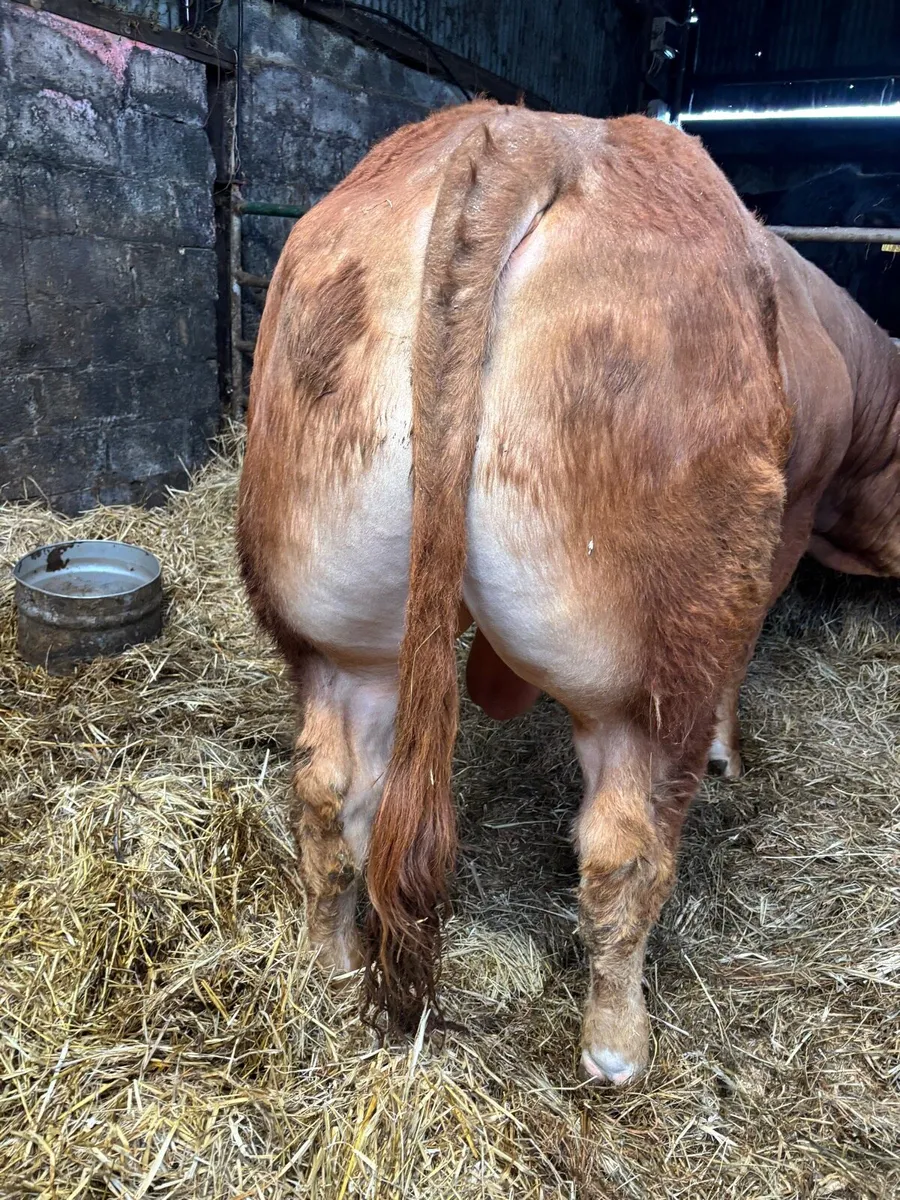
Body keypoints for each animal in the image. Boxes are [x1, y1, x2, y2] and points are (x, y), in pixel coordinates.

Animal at [237, 101, 899, 1085]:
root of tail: (526, 135)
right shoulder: (788, 522)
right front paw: (730, 754)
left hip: (334, 622)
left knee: (329, 790)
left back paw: (331, 962)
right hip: (651, 662)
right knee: (625, 850)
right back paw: (617, 1046)